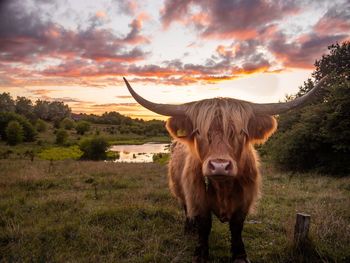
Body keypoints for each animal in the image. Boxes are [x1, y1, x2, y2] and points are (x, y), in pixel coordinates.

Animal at [123, 77, 328, 263]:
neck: (223, 187)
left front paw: (239, 256)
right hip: (179, 189)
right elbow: (204, 225)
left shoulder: (244, 201)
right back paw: (188, 230)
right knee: (185, 209)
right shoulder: (198, 198)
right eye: (198, 132)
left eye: (241, 132)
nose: (219, 166)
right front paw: (201, 254)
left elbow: (237, 227)